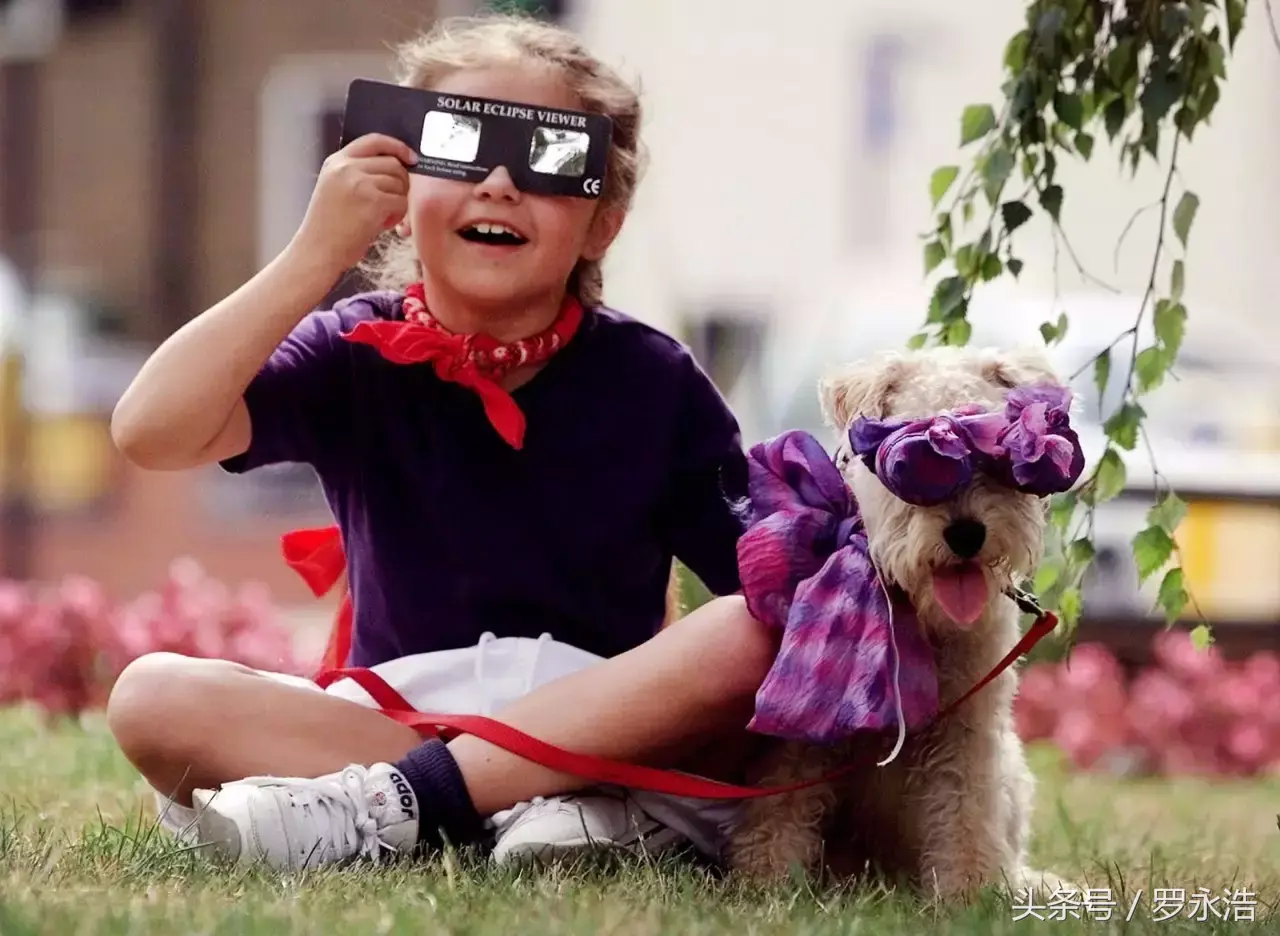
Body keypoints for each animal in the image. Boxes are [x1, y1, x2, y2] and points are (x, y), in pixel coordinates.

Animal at [727, 343, 1075, 901]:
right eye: (912, 464)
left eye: (996, 461)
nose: (966, 533)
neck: (920, 622)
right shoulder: (801, 737)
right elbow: (778, 810)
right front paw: (765, 883)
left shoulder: (968, 730)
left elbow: (967, 814)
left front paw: (969, 896)